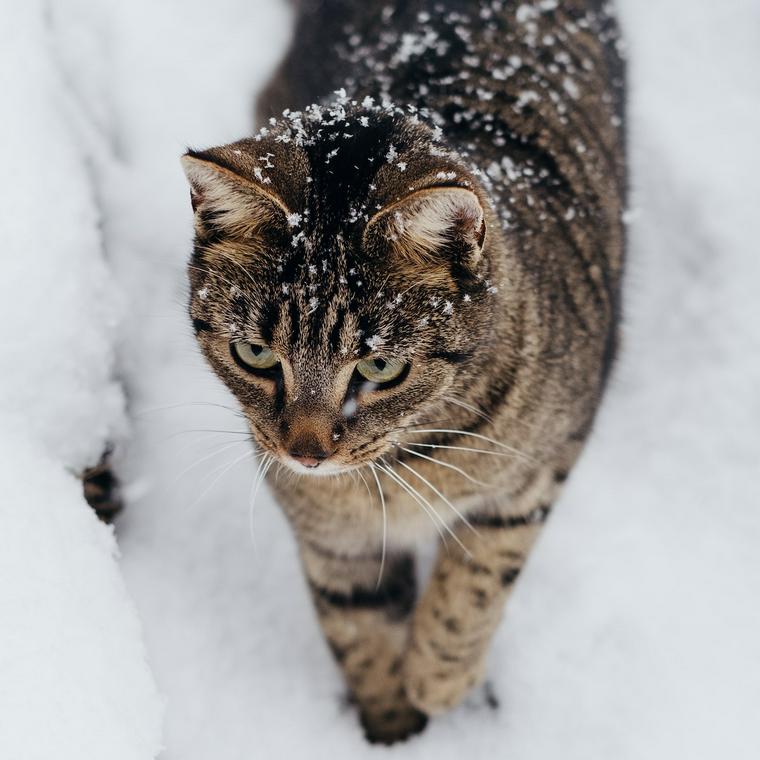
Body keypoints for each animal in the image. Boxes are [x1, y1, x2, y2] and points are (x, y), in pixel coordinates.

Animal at [178, 0, 624, 748]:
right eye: (257, 356)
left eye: (379, 366)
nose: (305, 451)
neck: (397, 467)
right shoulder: (332, 540)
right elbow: (358, 628)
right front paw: (391, 725)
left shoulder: (541, 468)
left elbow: (475, 582)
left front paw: (438, 678)